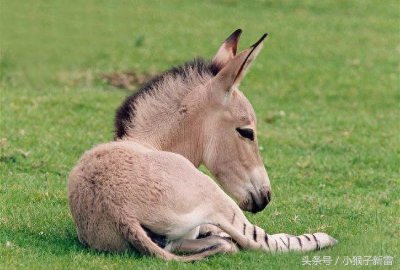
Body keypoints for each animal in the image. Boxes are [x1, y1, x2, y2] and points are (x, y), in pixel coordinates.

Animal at [69, 30, 338, 262]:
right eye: (247, 132)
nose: (266, 197)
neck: (150, 143)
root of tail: (121, 214)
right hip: (216, 196)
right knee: (263, 242)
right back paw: (323, 238)